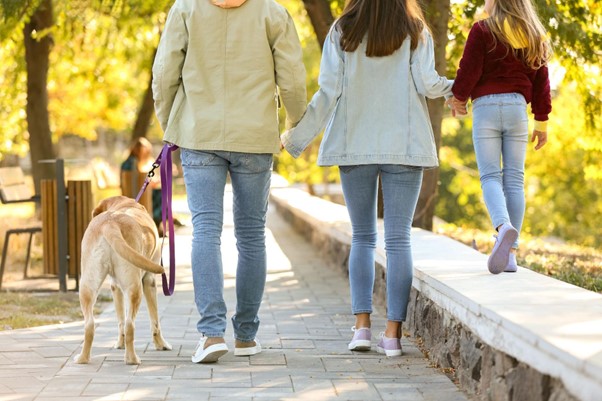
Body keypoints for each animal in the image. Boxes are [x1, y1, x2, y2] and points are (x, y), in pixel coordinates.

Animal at [74, 195, 171, 364]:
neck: (122, 205)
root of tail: (110, 222)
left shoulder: (115, 286)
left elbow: (119, 318)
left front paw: (120, 343)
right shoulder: (149, 281)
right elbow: (155, 320)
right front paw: (161, 344)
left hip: (87, 286)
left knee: (90, 325)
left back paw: (83, 358)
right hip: (135, 288)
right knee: (129, 324)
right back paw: (132, 359)